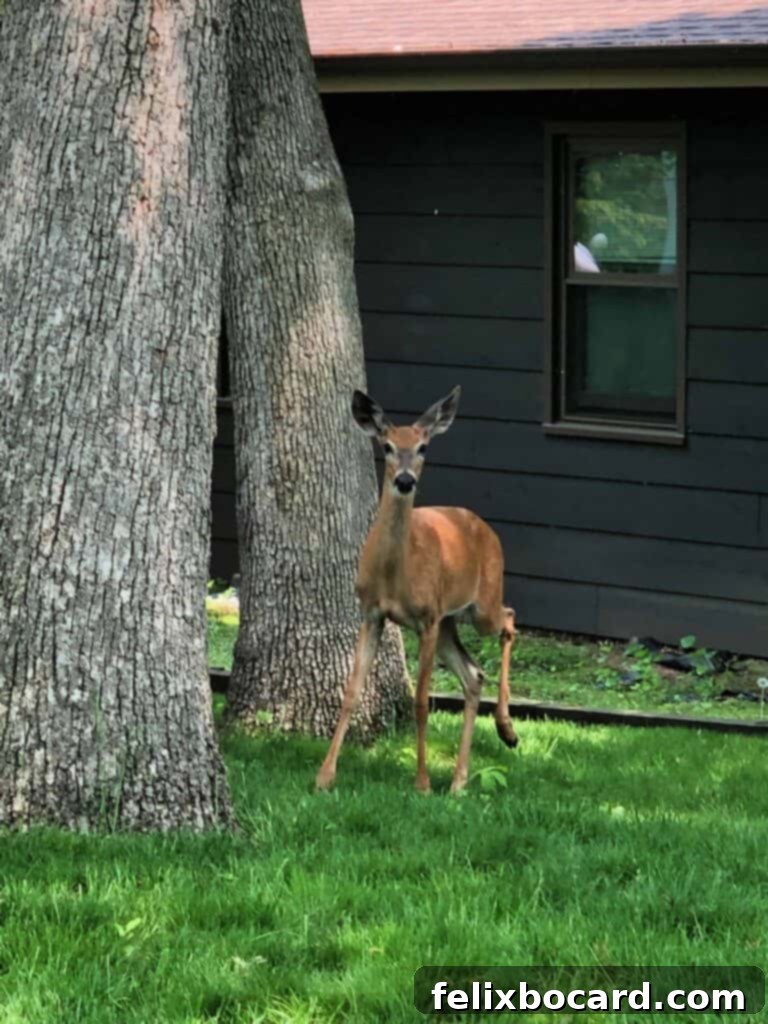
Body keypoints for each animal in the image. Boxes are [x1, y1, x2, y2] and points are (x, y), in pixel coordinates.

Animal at [315, 385, 518, 795]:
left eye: (423, 447)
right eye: (387, 445)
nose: (406, 480)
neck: (396, 574)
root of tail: (484, 526)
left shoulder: (426, 618)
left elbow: (422, 702)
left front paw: (422, 782)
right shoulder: (372, 613)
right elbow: (351, 693)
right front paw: (325, 776)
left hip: (478, 606)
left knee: (509, 618)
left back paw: (506, 730)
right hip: (449, 621)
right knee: (474, 675)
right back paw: (459, 780)